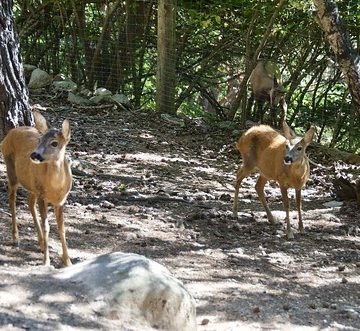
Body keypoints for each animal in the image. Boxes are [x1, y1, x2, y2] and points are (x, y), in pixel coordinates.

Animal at [1, 111, 73, 268]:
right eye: (39, 140)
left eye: (54, 143)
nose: (34, 155)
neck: (55, 188)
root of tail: (11, 132)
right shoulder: (42, 195)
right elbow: (47, 226)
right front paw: (46, 261)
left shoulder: (61, 201)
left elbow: (62, 228)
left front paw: (68, 261)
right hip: (11, 171)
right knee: (12, 200)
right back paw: (16, 238)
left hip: (32, 185)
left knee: (29, 202)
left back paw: (40, 243)